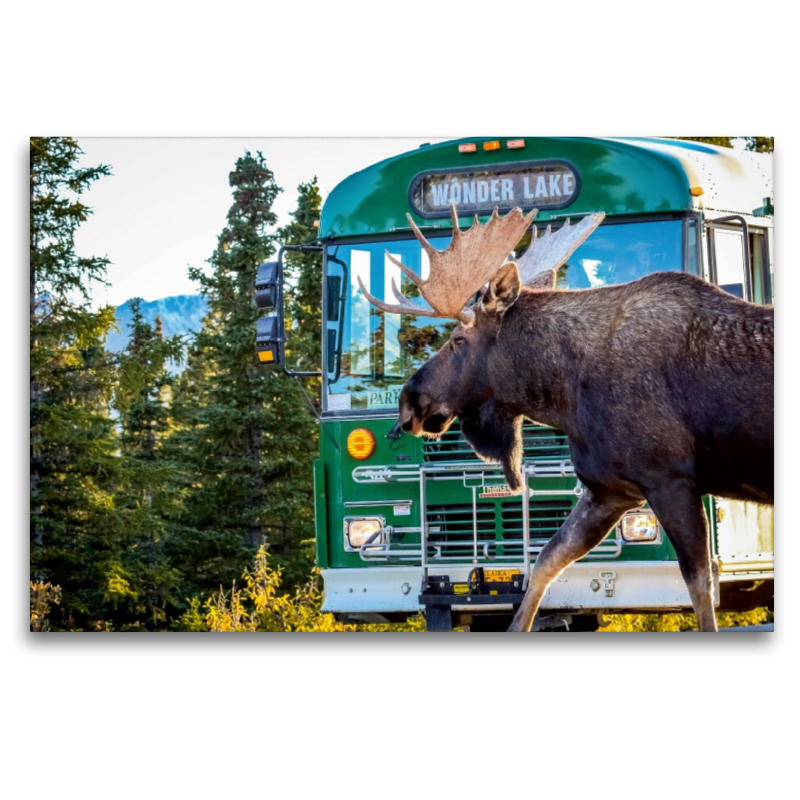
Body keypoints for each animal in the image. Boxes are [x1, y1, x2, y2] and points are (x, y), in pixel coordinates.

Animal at [360, 203, 776, 636]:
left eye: (458, 340)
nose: (408, 402)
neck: (565, 396)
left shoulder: (670, 481)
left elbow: (699, 586)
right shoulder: (609, 491)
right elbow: (546, 562)